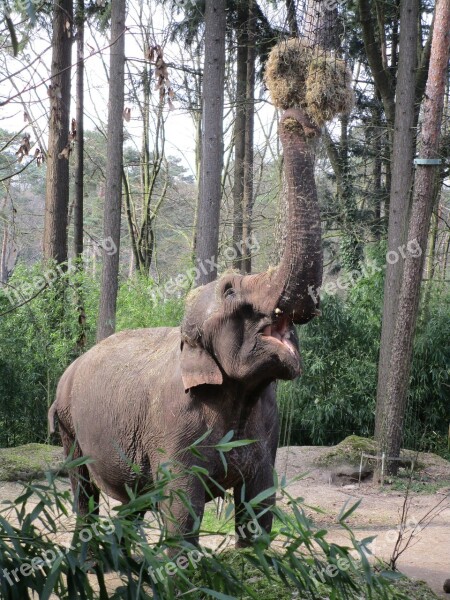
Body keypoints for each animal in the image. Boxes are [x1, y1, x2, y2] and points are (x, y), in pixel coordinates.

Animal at [49, 105, 322, 548]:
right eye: (230, 289)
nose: (296, 115)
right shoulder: (173, 427)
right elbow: (181, 510)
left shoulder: (268, 427)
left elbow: (259, 507)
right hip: (68, 426)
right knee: (84, 490)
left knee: (132, 500)